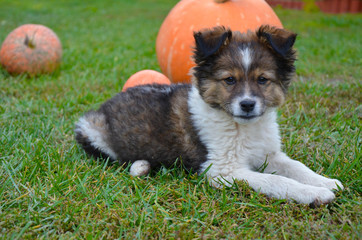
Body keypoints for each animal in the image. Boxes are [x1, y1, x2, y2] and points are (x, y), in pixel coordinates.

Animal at [75, 25, 344, 205]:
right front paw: (315, 194)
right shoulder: (221, 170)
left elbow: (296, 167)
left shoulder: (270, 154)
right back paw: (139, 165)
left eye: (262, 80)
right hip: (89, 127)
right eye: (229, 80)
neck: (242, 127)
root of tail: (107, 102)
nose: (247, 104)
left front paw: (326, 182)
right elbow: (275, 181)